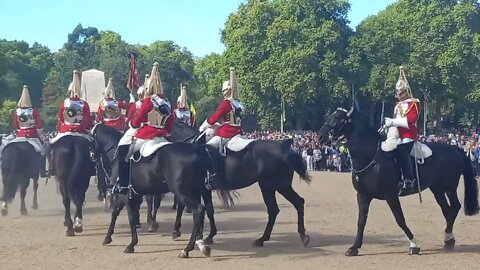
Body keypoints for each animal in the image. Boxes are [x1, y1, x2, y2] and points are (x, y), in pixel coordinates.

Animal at [171, 121, 314, 248]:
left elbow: (185, 207)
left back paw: (264, 239)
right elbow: (208, 210)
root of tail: (284, 147)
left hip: (272, 186)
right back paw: (301, 236)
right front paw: (208, 235)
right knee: (295, 203)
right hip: (277, 186)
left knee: (278, 208)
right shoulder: (203, 189)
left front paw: (179, 231)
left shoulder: (196, 188)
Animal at [316, 98, 478, 256]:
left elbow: (400, 219)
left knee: (454, 207)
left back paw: (448, 237)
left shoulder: (391, 195)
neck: (370, 156)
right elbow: (361, 221)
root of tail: (455, 149)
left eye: (339, 118)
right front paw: (354, 247)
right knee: (447, 210)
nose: (320, 137)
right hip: (437, 189)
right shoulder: (363, 195)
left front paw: (414, 244)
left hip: (449, 187)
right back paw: (448, 239)